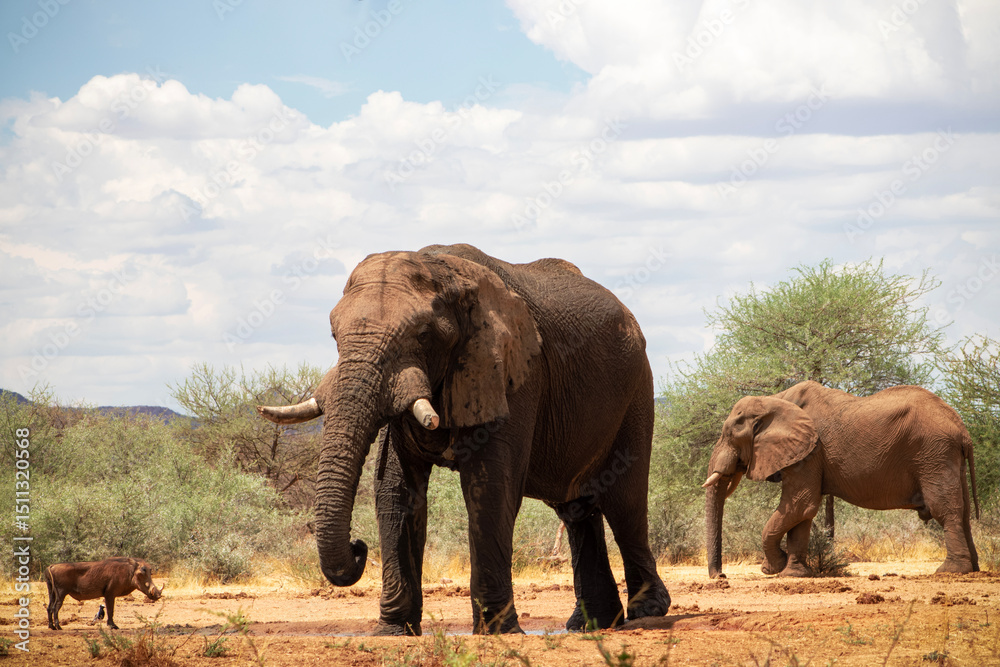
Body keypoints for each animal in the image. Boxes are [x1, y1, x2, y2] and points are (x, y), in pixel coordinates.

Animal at [257, 244, 670, 635]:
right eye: (334, 336)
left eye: (423, 335)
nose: (359, 547)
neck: (444, 272)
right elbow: (395, 490)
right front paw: (393, 631)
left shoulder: (511, 371)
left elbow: (490, 489)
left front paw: (497, 631)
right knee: (575, 510)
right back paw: (590, 624)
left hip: (636, 389)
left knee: (625, 502)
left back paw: (647, 612)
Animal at [702, 381, 979, 578]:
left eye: (730, 435)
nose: (721, 576)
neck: (775, 400)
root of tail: (962, 430)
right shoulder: (806, 453)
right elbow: (802, 515)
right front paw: (794, 574)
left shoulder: (810, 452)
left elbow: (800, 505)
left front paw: (774, 568)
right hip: (946, 457)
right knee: (964, 511)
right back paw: (974, 569)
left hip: (934, 453)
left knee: (945, 509)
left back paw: (951, 571)